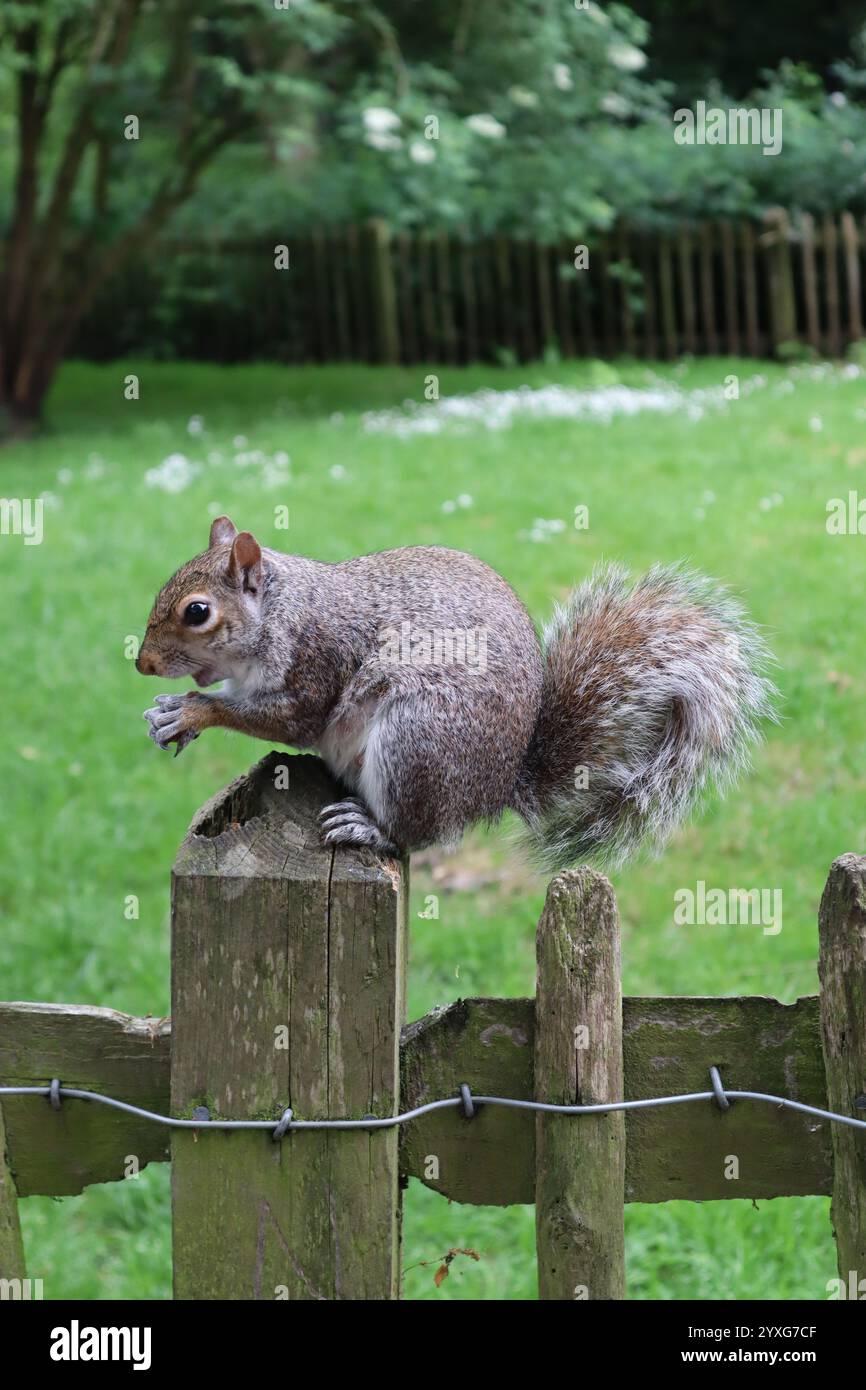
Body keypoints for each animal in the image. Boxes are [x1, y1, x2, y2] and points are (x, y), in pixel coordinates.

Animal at [139, 519, 778, 867]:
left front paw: (194, 712)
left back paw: (371, 827)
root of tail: (493, 790)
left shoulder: (316, 666)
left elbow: (286, 720)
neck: (282, 610)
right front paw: (167, 714)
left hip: (417, 741)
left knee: (413, 835)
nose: (142, 663)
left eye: (197, 612)